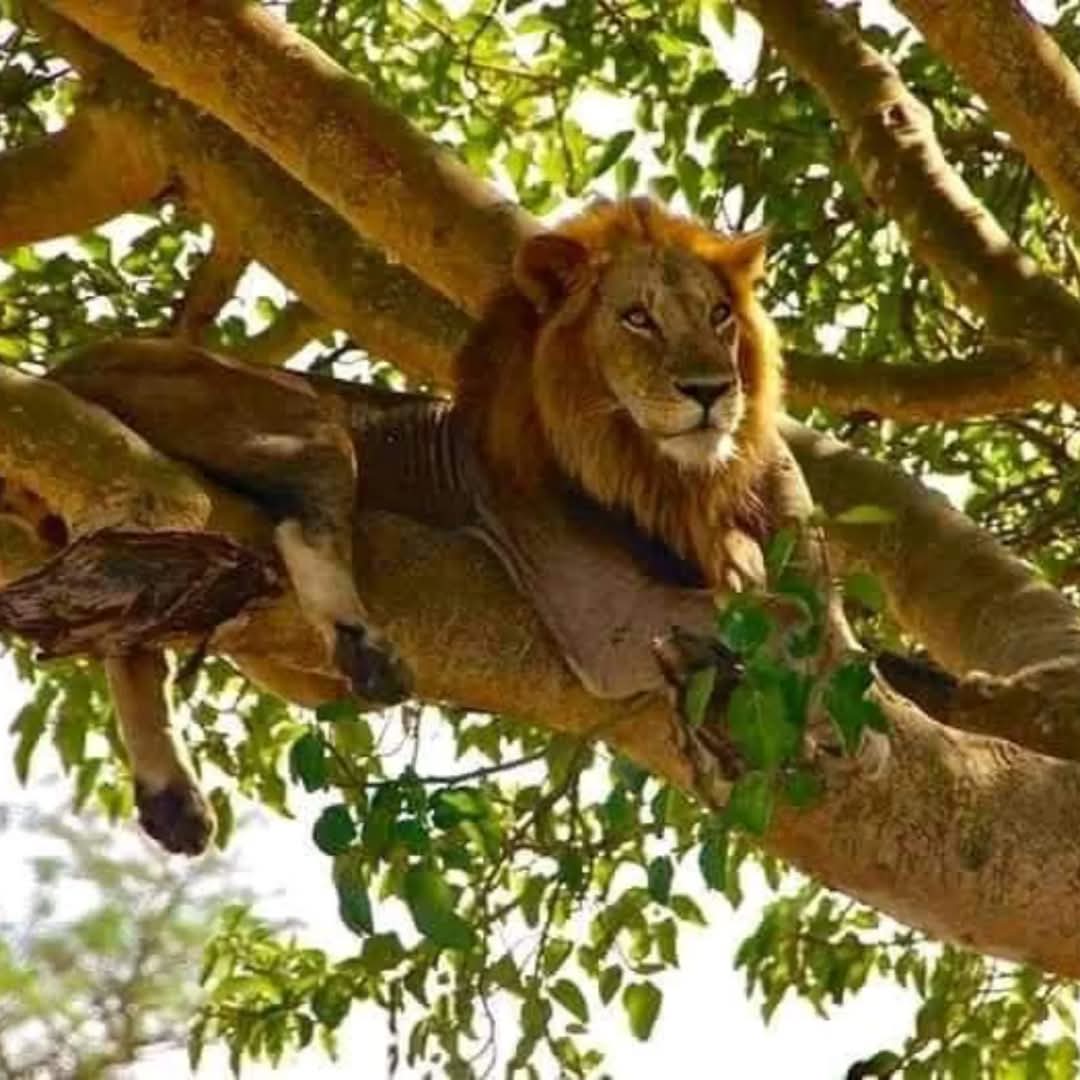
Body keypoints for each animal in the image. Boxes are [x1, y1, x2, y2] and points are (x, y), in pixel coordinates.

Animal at [18, 197, 834, 854]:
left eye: (720, 315)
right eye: (637, 317)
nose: (712, 390)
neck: (670, 474)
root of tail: (69, 366)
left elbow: (801, 609)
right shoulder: (600, 619)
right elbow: (791, 620)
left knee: (132, 638)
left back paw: (173, 801)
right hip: (297, 418)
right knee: (303, 518)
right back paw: (364, 649)